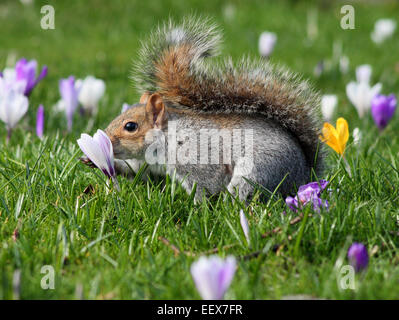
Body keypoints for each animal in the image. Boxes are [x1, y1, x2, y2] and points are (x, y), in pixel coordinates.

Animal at [101, 16, 326, 200]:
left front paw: (195, 209)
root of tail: (305, 174)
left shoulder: (199, 158)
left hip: (259, 171)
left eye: (131, 126)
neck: (171, 133)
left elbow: (205, 186)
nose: (106, 140)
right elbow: (140, 171)